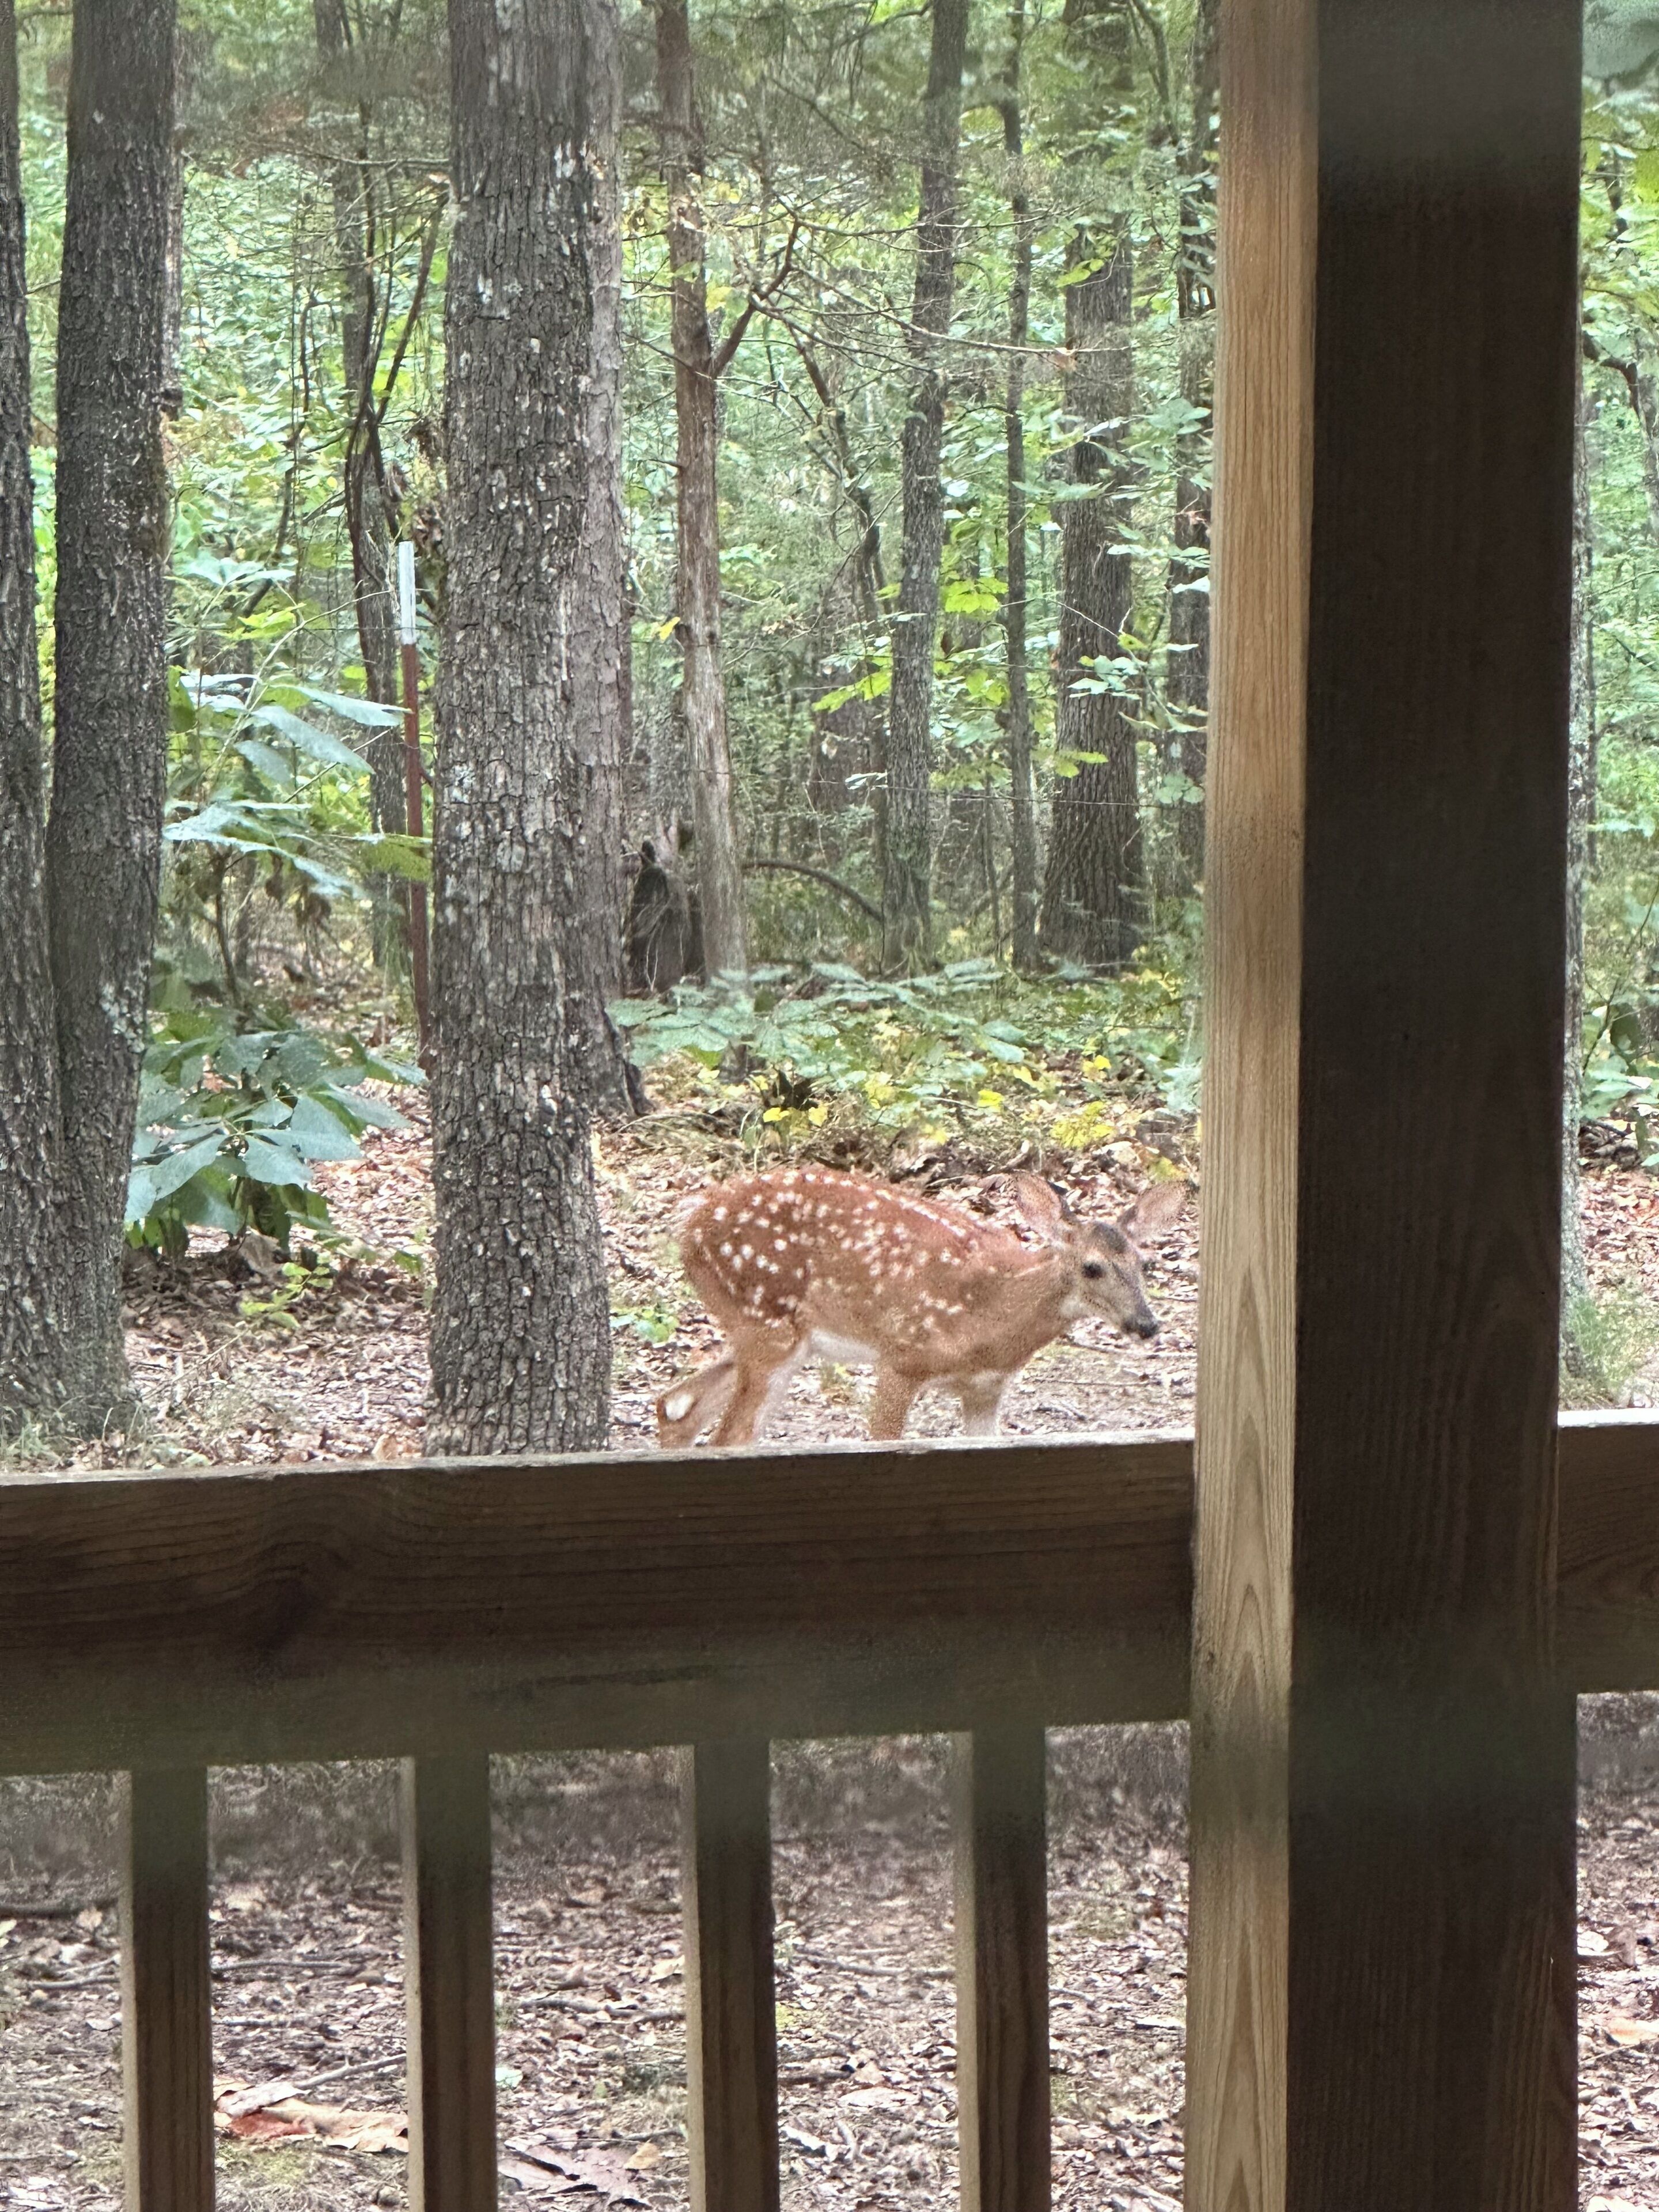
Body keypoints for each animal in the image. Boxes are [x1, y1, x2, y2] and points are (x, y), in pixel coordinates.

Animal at [656, 1165, 1187, 1448]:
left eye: (1143, 1264)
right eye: (1092, 1268)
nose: (1146, 1324)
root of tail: (689, 1229)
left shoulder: (986, 1389)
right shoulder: (901, 1357)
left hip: (771, 1334)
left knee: (677, 1404)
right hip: (766, 1321)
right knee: (729, 1435)